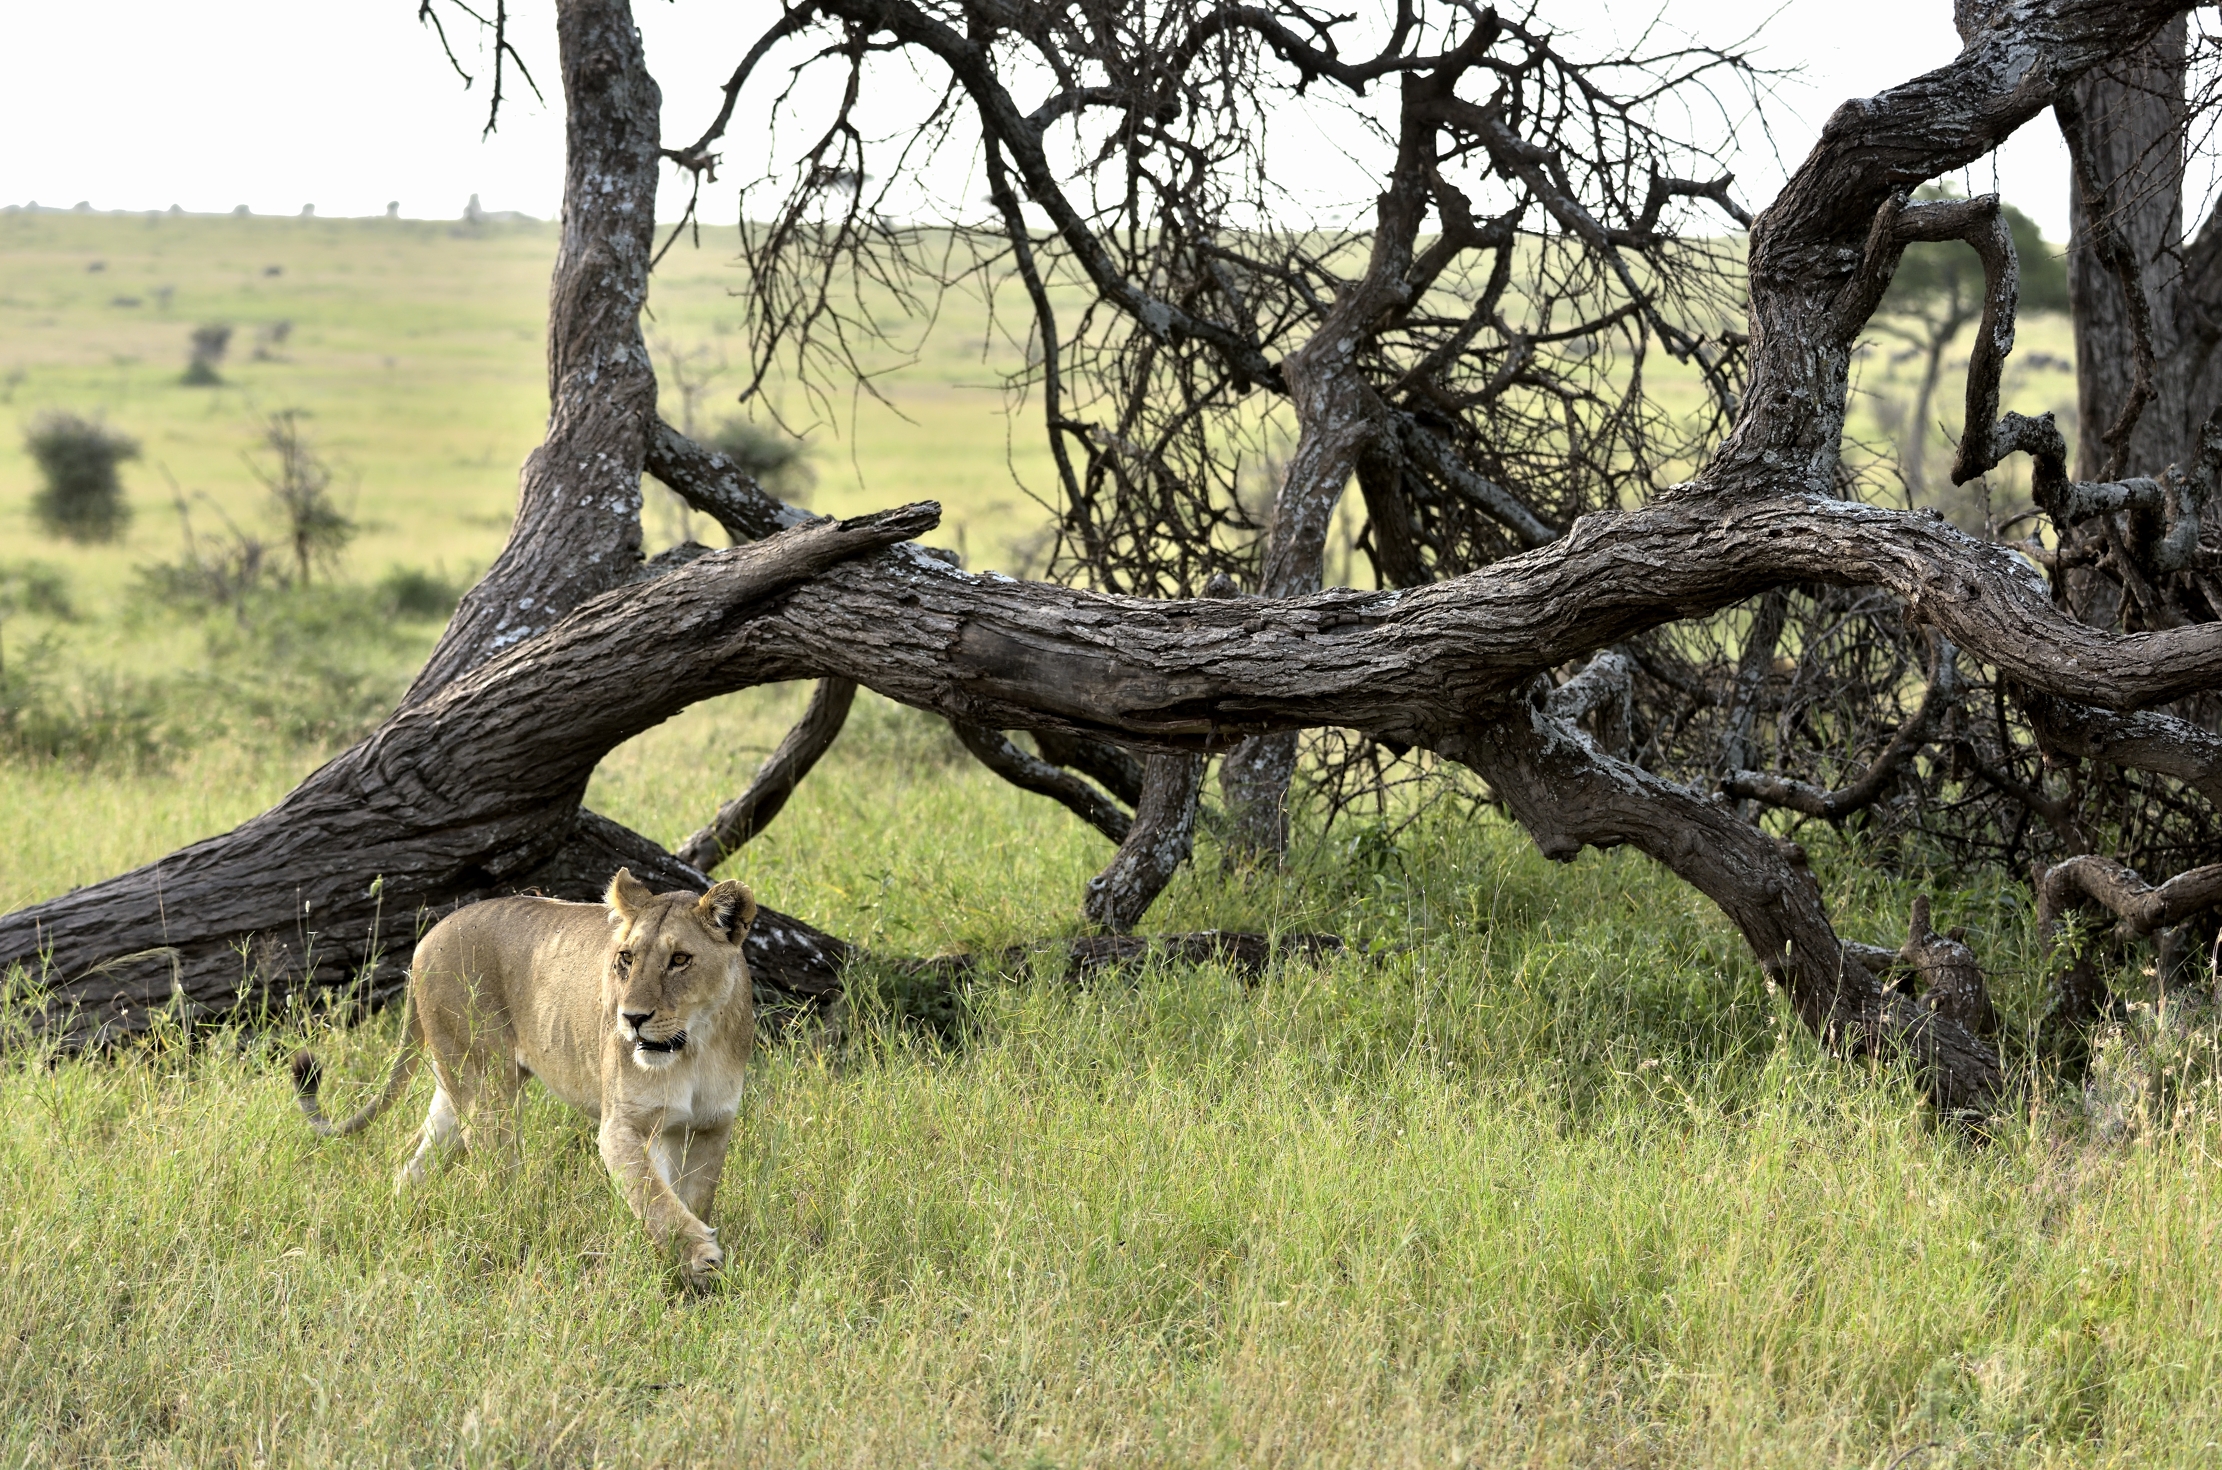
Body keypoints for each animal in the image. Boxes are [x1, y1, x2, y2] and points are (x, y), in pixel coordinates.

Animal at [291, 867, 758, 1290]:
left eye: (680, 960)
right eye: (626, 958)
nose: (631, 1018)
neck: (693, 1049)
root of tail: (427, 939)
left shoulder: (710, 1126)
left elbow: (692, 1195)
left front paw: (689, 1269)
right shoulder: (623, 1124)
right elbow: (653, 1195)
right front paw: (700, 1256)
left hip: (455, 1085)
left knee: (419, 1160)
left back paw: (399, 1215)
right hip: (487, 1086)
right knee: (494, 1171)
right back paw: (510, 1232)